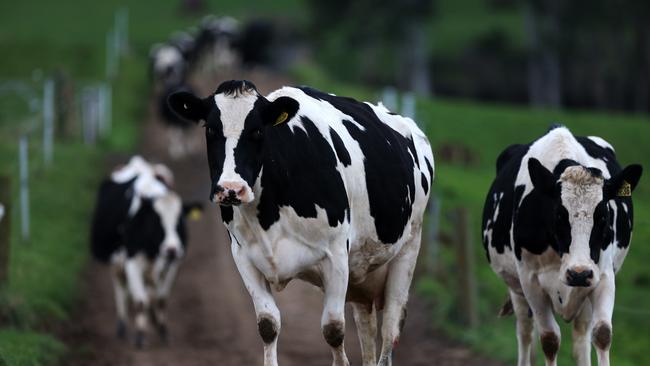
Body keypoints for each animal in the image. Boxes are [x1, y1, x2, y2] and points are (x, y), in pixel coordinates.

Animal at [88, 156, 200, 348]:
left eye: (180, 222)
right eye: (156, 221)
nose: (172, 249)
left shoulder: (172, 264)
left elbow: (161, 299)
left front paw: (163, 330)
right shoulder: (132, 260)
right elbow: (141, 301)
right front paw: (140, 335)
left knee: (150, 292)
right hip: (117, 263)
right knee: (122, 289)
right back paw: (122, 325)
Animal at [167, 81, 432, 366]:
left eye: (257, 131)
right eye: (210, 129)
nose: (231, 189)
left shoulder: (336, 256)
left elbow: (333, 330)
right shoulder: (243, 257)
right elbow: (268, 325)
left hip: (408, 248)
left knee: (390, 328)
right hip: (363, 273)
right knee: (367, 328)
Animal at [478, 126, 640, 366]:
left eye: (603, 215)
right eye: (559, 215)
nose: (578, 273)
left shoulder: (602, 275)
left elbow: (602, 334)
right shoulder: (530, 281)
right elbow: (549, 339)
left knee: (581, 336)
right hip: (516, 289)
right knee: (525, 331)